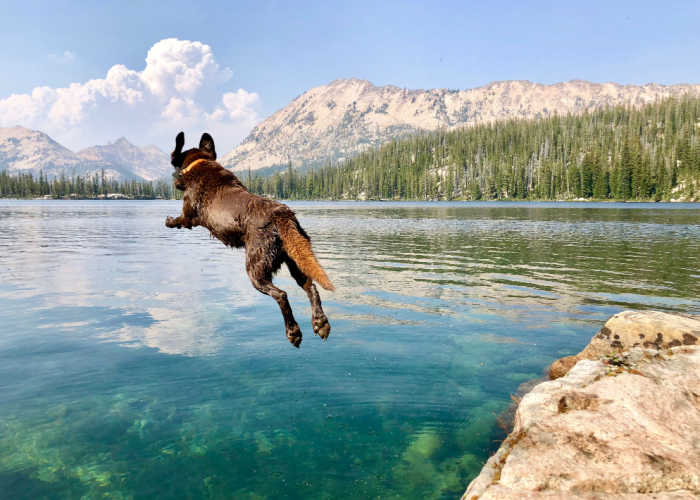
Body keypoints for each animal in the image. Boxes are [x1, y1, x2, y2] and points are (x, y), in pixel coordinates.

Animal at [168, 131, 334, 346]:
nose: (174, 181)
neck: (200, 163)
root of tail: (282, 215)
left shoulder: (189, 216)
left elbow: (179, 220)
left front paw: (169, 221)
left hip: (256, 267)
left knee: (282, 295)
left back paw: (293, 331)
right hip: (295, 257)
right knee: (311, 287)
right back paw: (320, 323)